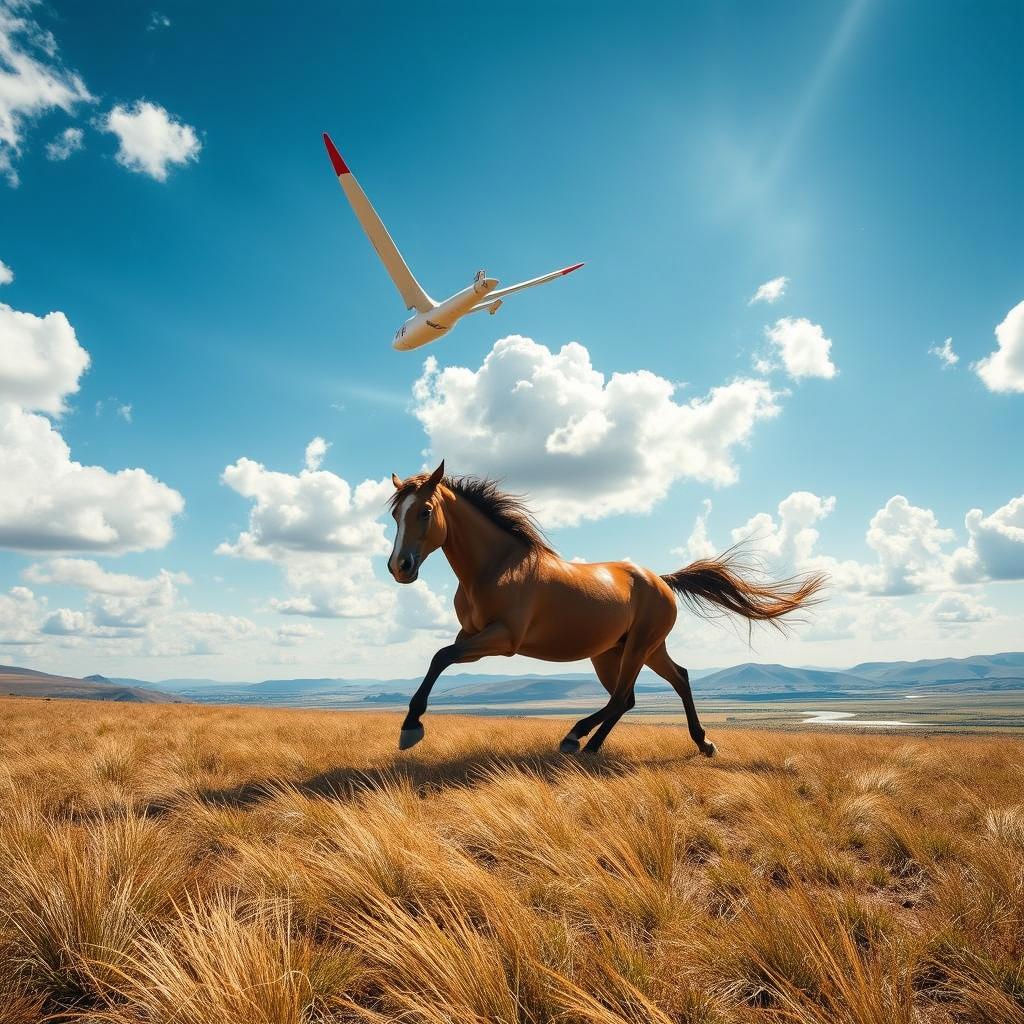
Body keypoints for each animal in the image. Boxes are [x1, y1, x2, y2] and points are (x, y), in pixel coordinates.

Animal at [387, 462, 825, 755]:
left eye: (425, 511)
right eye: (394, 514)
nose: (399, 566)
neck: (497, 566)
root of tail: (661, 580)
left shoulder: (503, 638)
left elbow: (440, 655)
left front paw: (410, 728)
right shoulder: (472, 635)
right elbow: (440, 658)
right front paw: (411, 725)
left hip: (638, 646)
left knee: (623, 697)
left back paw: (578, 738)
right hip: (626, 650)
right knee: (665, 684)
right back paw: (695, 743)